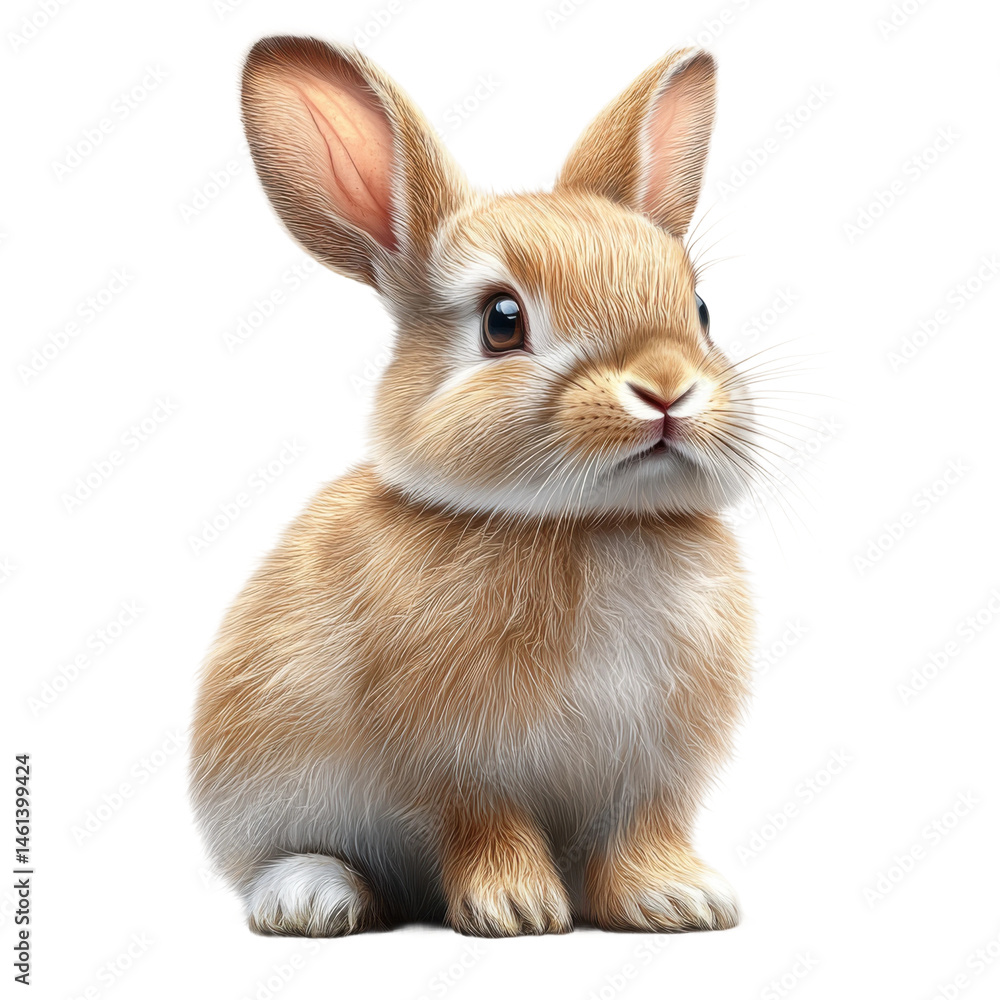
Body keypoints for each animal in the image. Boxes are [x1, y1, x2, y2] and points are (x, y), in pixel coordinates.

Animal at [190, 35, 760, 938]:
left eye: (700, 308)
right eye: (502, 320)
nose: (667, 388)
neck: (593, 526)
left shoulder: (653, 770)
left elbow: (641, 830)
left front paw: (680, 900)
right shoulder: (455, 759)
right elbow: (481, 820)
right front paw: (515, 907)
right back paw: (311, 897)